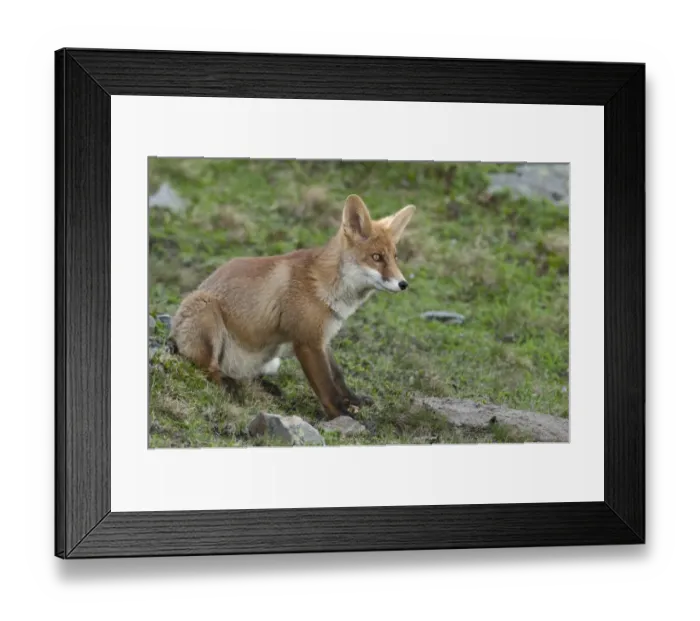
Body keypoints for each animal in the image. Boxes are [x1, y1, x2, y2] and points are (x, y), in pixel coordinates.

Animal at [168, 194, 416, 420]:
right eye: (376, 257)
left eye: (394, 257)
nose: (403, 284)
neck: (325, 285)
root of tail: (173, 335)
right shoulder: (307, 342)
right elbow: (326, 387)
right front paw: (342, 414)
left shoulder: (322, 337)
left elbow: (337, 375)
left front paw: (352, 399)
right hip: (207, 312)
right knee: (208, 368)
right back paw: (231, 387)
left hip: (268, 356)